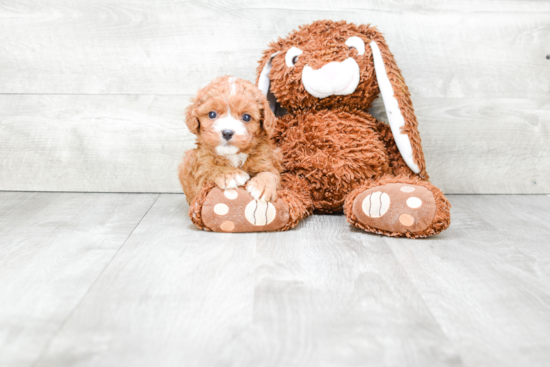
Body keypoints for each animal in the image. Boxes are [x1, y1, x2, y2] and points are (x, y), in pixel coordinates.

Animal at [179, 75, 282, 207]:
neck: (233, 154)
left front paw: (263, 186)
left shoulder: (265, 159)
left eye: (246, 117)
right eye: (212, 114)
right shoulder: (200, 166)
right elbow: (210, 169)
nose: (227, 133)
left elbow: (270, 172)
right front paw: (231, 174)